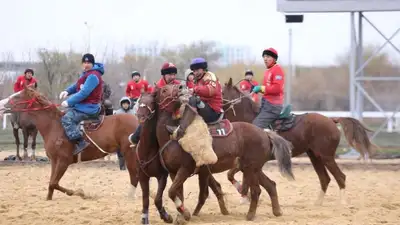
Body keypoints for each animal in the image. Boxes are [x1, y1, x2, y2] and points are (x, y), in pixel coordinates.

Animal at [3, 85, 140, 200]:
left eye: (17, 96)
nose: (3, 103)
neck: (54, 125)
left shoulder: (64, 161)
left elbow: (54, 183)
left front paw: (79, 193)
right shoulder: (54, 161)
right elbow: (51, 183)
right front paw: (49, 198)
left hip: (129, 153)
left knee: (134, 174)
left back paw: (130, 196)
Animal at [146, 85, 294, 222]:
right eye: (164, 90)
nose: (180, 87)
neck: (171, 137)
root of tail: (265, 133)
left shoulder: (185, 170)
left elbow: (173, 192)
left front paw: (186, 214)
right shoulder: (174, 172)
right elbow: (177, 193)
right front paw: (183, 215)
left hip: (250, 169)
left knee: (256, 190)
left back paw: (250, 215)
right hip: (255, 168)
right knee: (271, 185)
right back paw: (277, 211)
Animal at [222, 77, 376, 206]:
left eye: (221, 91)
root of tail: (331, 120)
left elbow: (235, 175)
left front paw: (244, 196)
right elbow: (231, 175)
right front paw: (244, 197)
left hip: (326, 156)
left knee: (340, 177)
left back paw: (342, 203)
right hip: (315, 156)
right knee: (325, 179)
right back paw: (317, 203)